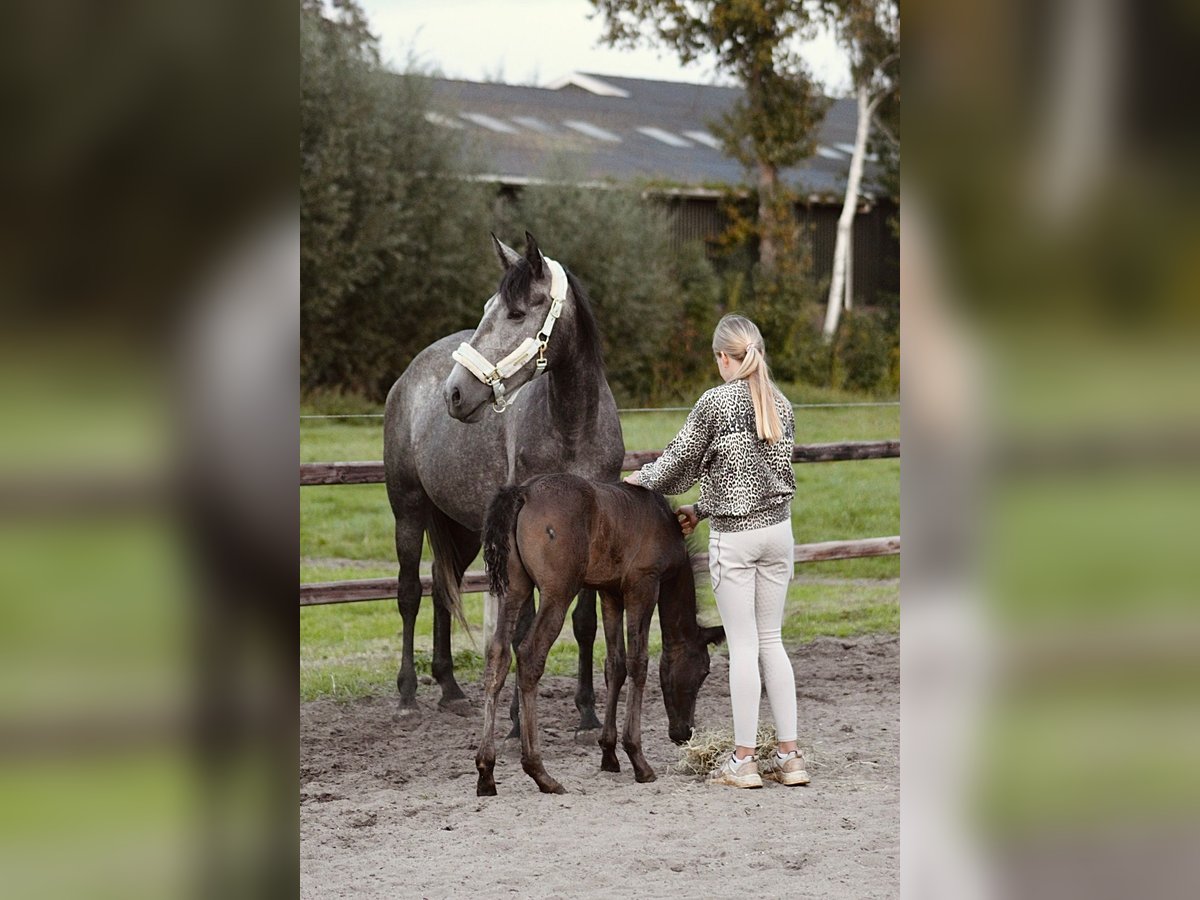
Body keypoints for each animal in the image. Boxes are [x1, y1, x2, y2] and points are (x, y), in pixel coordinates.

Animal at [383, 233, 624, 724]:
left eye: (516, 313)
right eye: (487, 308)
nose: (455, 393)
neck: (573, 429)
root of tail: (410, 375)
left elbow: (584, 624)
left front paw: (587, 714)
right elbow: (523, 625)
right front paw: (515, 720)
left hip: (463, 527)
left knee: (442, 587)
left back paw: (451, 689)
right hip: (408, 509)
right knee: (409, 592)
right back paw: (408, 694)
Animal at [475, 473, 725, 796]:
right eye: (704, 671)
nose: (684, 732)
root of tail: (523, 492)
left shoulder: (610, 594)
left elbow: (614, 665)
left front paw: (608, 753)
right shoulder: (643, 586)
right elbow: (638, 663)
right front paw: (638, 759)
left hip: (514, 586)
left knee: (498, 656)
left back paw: (486, 771)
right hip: (558, 591)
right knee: (530, 656)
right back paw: (540, 772)